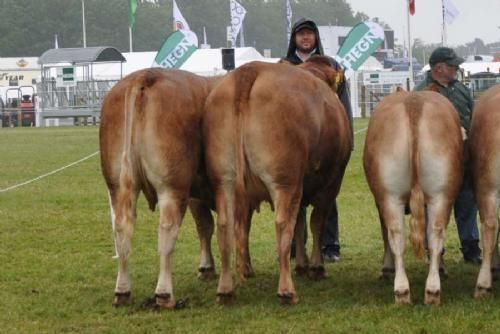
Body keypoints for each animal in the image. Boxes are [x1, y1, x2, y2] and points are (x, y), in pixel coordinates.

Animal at [99, 68, 221, 310]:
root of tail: (144, 77)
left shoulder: (197, 195)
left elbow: (205, 226)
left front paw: (207, 267)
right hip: (171, 187)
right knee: (167, 231)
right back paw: (164, 294)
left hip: (117, 185)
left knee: (122, 229)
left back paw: (122, 291)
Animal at [202, 56, 352, 306]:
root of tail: (249, 71)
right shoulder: (331, 183)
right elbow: (316, 223)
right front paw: (315, 267)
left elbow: (300, 223)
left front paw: (301, 265)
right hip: (285, 182)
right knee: (282, 225)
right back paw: (286, 290)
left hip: (224, 180)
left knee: (225, 226)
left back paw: (226, 290)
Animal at [364, 90, 464, 304]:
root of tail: (413, 103)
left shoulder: (378, 201)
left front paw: (386, 269)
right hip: (440, 194)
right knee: (435, 234)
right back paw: (431, 290)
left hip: (389, 196)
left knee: (396, 235)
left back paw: (402, 291)